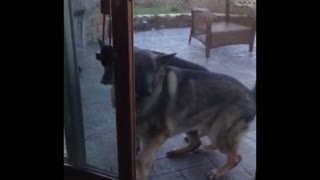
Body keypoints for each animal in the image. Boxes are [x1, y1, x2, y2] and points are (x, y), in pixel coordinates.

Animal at [97, 47, 255, 179]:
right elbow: (139, 154)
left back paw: (218, 172)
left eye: (153, 70)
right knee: (197, 143)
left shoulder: (156, 137)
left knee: (235, 157)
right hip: (200, 125)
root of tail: (250, 93)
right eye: (136, 68)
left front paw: (141, 172)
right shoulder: (139, 135)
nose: (148, 91)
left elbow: (142, 162)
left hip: (217, 133)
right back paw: (192, 150)